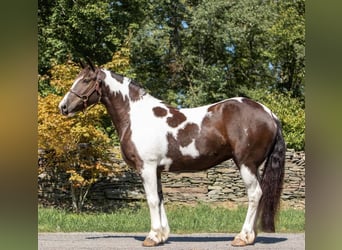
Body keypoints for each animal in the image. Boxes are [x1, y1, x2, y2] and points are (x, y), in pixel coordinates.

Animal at [59, 62, 286, 246]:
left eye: (86, 80)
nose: (63, 107)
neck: (137, 117)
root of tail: (269, 113)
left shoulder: (147, 167)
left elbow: (151, 200)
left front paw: (152, 237)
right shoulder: (156, 170)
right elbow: (160, 199)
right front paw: (162, 235)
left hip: (246, 163)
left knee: (255, 194)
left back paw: (242, 237)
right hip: (254, 166)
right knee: (260, 195)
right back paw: (252, 236)